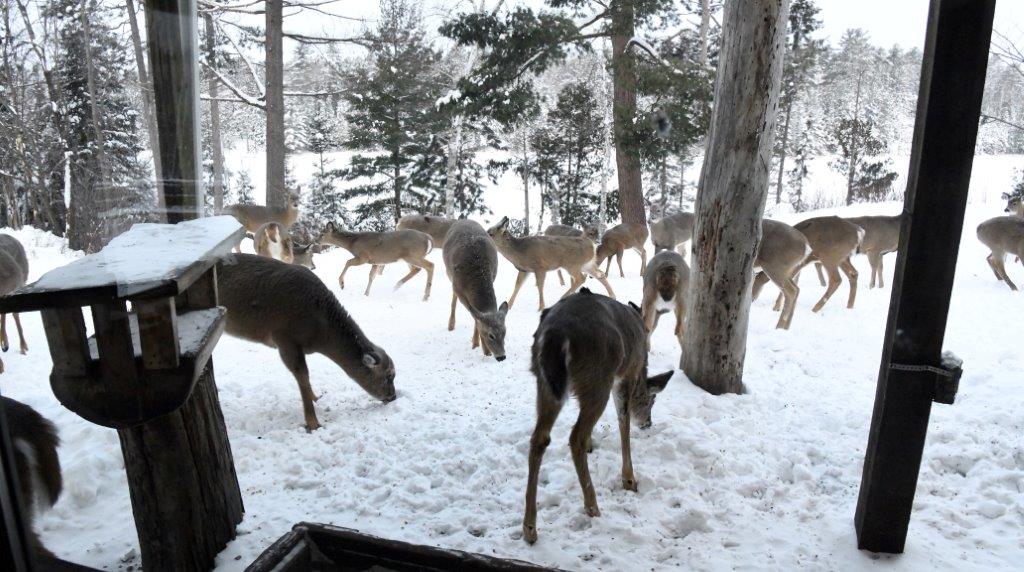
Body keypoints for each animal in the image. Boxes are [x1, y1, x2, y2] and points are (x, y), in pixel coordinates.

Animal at [218, 254, 396, 431]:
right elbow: (302, 375)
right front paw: (313, 422)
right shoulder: (285, 339)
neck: (319, 335)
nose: (393, 396)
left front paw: (316, 397)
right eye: (389, 375)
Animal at [442, 220, 508, 361]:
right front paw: (482, 348)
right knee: (453, 300)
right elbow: (474, 316)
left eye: (505, 332)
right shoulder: (458, 288)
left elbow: (476, 318)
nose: (501, 357)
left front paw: (480, 346)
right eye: (490, 335)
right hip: (450, 276)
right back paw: (451, 325)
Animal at [522, 288, 673, 544]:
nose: (648, 423)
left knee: (540, 437)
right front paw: (629, 480)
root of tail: (557, 335)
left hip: (545, 381)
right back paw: (592, 506)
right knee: (574, 436)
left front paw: (593, 445)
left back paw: (529, 528)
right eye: (652, 401)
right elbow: (623, 420)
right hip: (598, 377)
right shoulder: (627, 373)